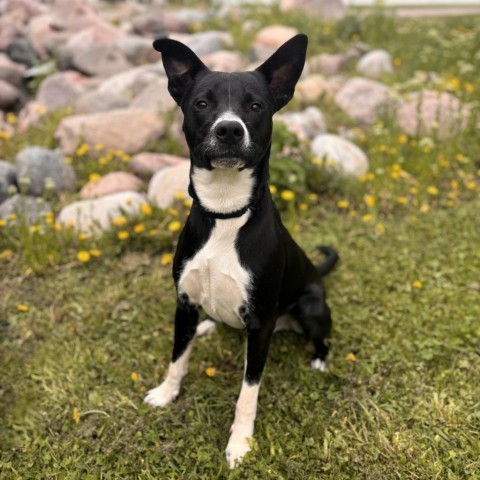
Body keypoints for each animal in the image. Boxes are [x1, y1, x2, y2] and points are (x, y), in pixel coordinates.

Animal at [144, 34, 340, 468]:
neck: (225, 212)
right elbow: (177, 359)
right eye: (202, 103)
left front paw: (240, 443)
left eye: (256, 106)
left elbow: (248, 394)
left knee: (322, 336)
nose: (230, 130)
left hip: (311, 307)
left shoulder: (261, 323)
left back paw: (318, 357)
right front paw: (166, 393)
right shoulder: (183, 303)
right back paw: (208, 325)